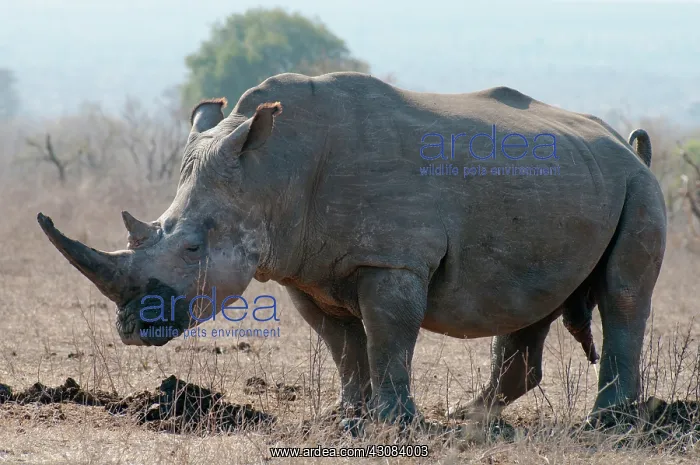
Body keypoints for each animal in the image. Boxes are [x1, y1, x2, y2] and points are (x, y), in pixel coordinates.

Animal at [37, 72, 666, 425]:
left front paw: (395, 425)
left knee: (623, 295)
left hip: (638, 186)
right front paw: (345, 419)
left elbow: (388, 338)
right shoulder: (305, 269)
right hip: (572, 185)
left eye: (193, 247)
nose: (130, 329)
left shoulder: (392, 260)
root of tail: (624, 142)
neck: (272, 170)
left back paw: (607, 425)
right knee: (527, 303)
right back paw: (472, 418)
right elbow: (342, 345)